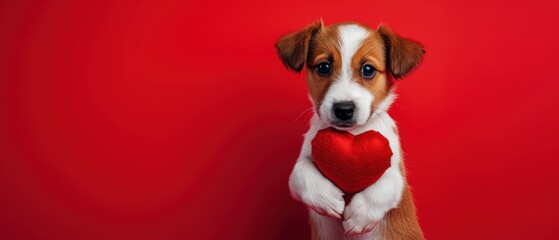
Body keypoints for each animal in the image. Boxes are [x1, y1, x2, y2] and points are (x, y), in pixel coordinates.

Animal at [274, 21, 424, 240]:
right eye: (324, 67)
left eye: (368, 69)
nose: (343, 109)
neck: (352, 134)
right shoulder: (300, 168)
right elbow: (301, 171)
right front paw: (328, 198)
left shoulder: (398, 176)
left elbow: (387, 184)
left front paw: (360, 215)